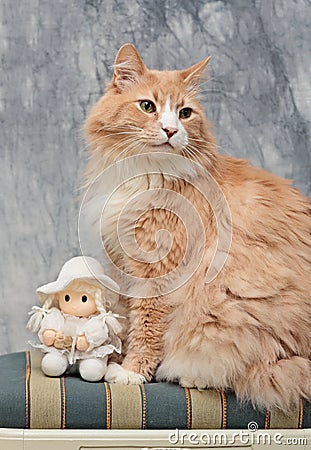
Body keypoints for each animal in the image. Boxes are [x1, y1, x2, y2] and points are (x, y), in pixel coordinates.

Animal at [83, 43, 311, 412]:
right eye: (148, 106)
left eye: (185, 113)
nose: (170, 130)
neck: (147, 174)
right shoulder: (123, 263)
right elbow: (129, 316)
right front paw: (116, 357)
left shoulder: (158, 267)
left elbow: (147, 326)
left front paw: (132, 371)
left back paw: (191, 376)